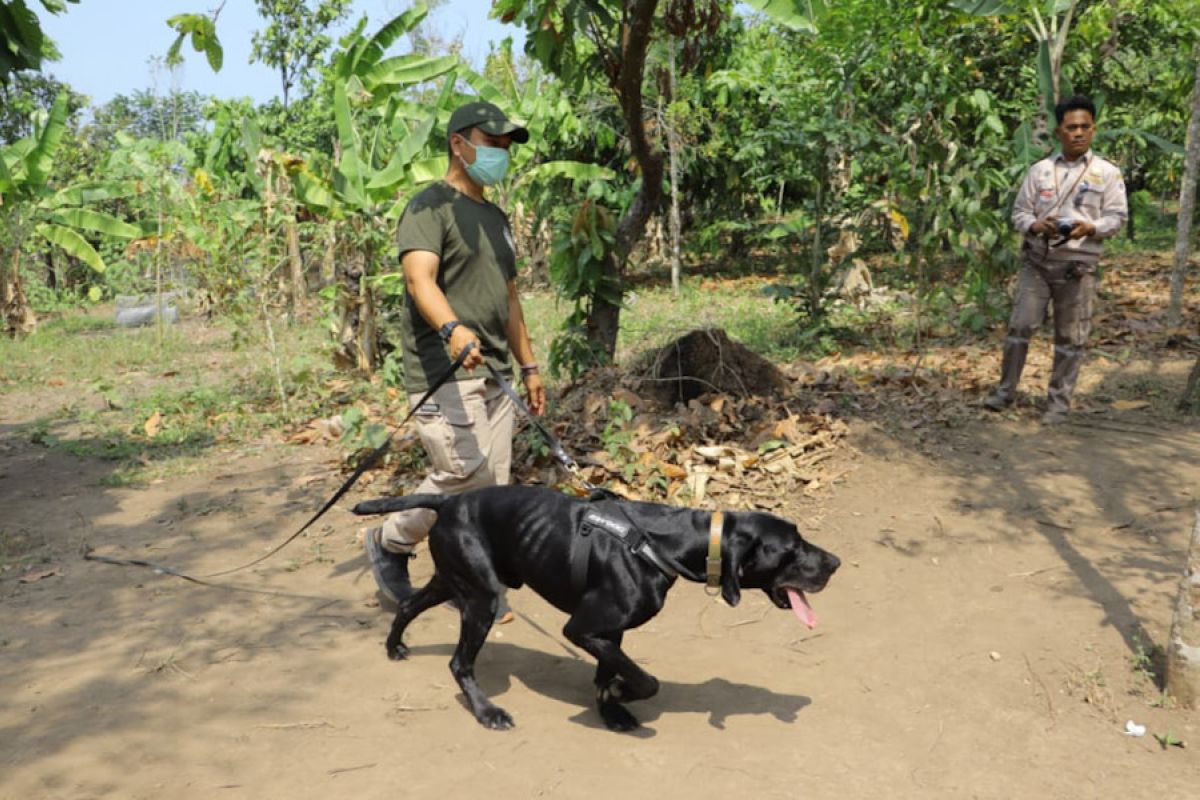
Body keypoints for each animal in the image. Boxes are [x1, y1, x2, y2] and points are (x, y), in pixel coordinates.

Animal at [350, 482, 840, 734]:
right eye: (792, 548)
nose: (835, 563)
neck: (664, 541)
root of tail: (448, 499)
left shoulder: (609, 632)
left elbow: (609, 673)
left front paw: (611, 709)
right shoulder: (583, 629)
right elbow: (645, 679)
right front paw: (624, 695)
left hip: (457, 583)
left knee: (410, 603)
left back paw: (394, 646)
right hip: (481, 600)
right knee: (458, 663)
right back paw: (487, 712)